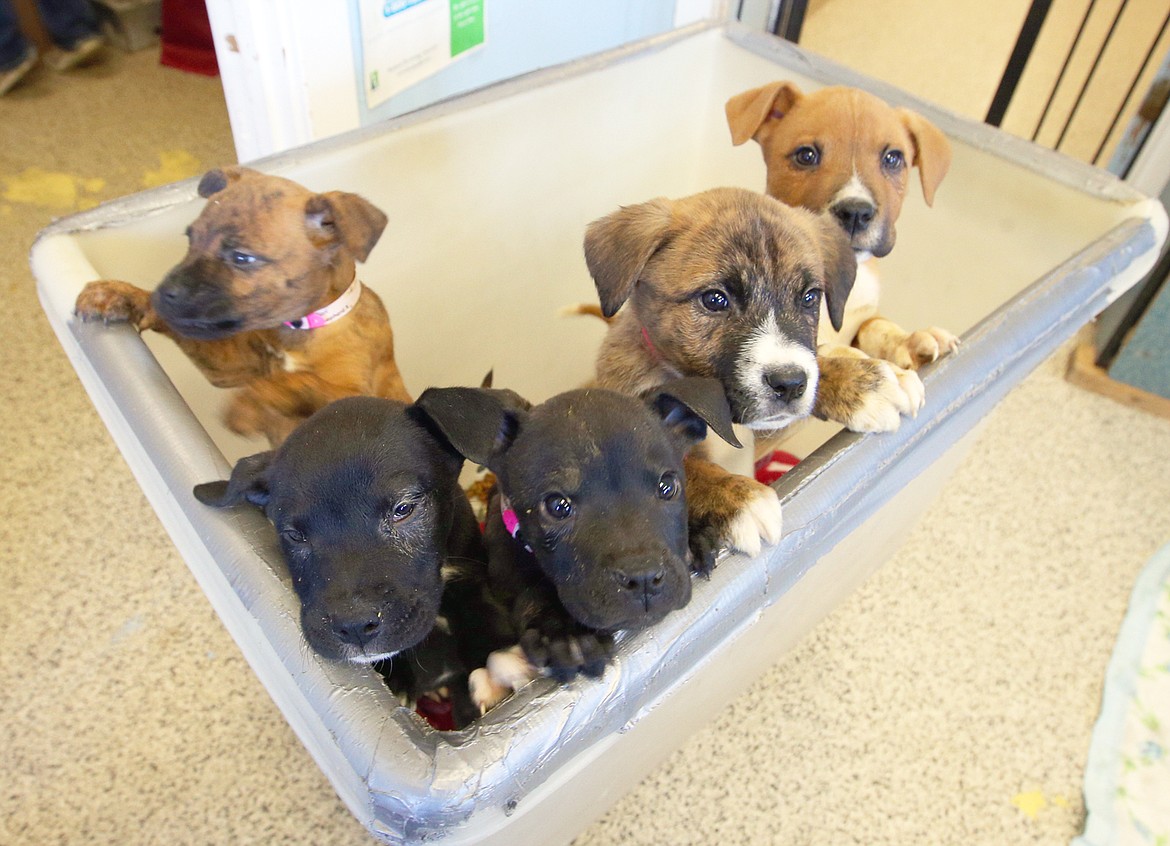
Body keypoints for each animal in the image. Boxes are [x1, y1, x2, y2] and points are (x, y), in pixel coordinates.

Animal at [74, 161, 411, 446]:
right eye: (190, 238)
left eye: (241, 258)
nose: (165, 293)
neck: (300, 327)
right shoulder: (231, 365)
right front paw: (119, 295)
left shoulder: (356, 393)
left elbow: (305, 381)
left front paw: (252, 402)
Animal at [191, 395, 526, 730]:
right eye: (294, 535)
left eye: (403, 508)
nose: (353, 627)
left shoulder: (471, 579)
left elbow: (485, 620)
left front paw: (497, 668)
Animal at [414, 376, 739, 683]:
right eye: (557, 506)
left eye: (667, 486)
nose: (644, 579)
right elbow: (528, 589)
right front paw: (564, 631)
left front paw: (694, 537)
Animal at [585, 186, 870, 561]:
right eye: (715, 300)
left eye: (809, 297)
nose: (790, 384)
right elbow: (680, 466)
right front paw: (735, 497)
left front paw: (861, 380)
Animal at [725, 81, 954, 430]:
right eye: (806, 155)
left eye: (893, 158)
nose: (856, 212)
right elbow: (810, 359)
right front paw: (864, 381)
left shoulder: (865, 315)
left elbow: (876, 325)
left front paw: (912, 341)